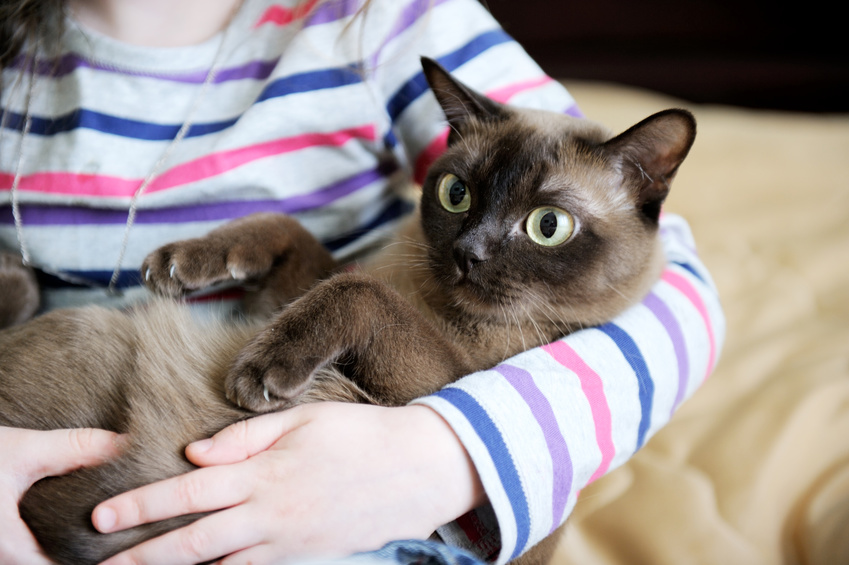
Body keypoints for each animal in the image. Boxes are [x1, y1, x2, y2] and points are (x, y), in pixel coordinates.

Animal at [0, 58, 696, 564]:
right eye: (456, 193)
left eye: (547, 226)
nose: (467, 253)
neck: (425, 289)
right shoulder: (282, 298)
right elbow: (299, 240)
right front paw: (179, 263)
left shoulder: (428, 385)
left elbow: (359, 292)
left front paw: (257, 374)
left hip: (87, 327)